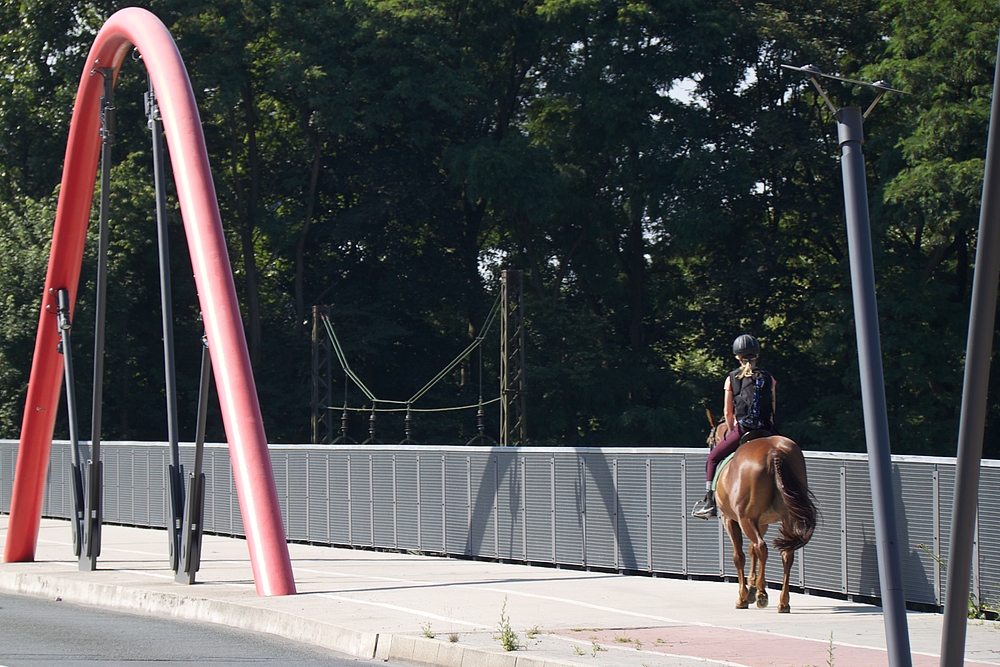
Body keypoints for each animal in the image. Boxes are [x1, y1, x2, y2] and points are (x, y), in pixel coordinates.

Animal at [704, 412, 812, 616]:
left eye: (709, 441)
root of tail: (775, 453)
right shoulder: (762, 522)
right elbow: (751, 549)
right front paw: (752, 587)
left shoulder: (730, 519)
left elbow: (740, 556)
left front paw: (744, 595)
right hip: (787, 517)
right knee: (786, 553)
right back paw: (783, 602)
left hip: (745, 519)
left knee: (762, 547)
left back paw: (762, 594)